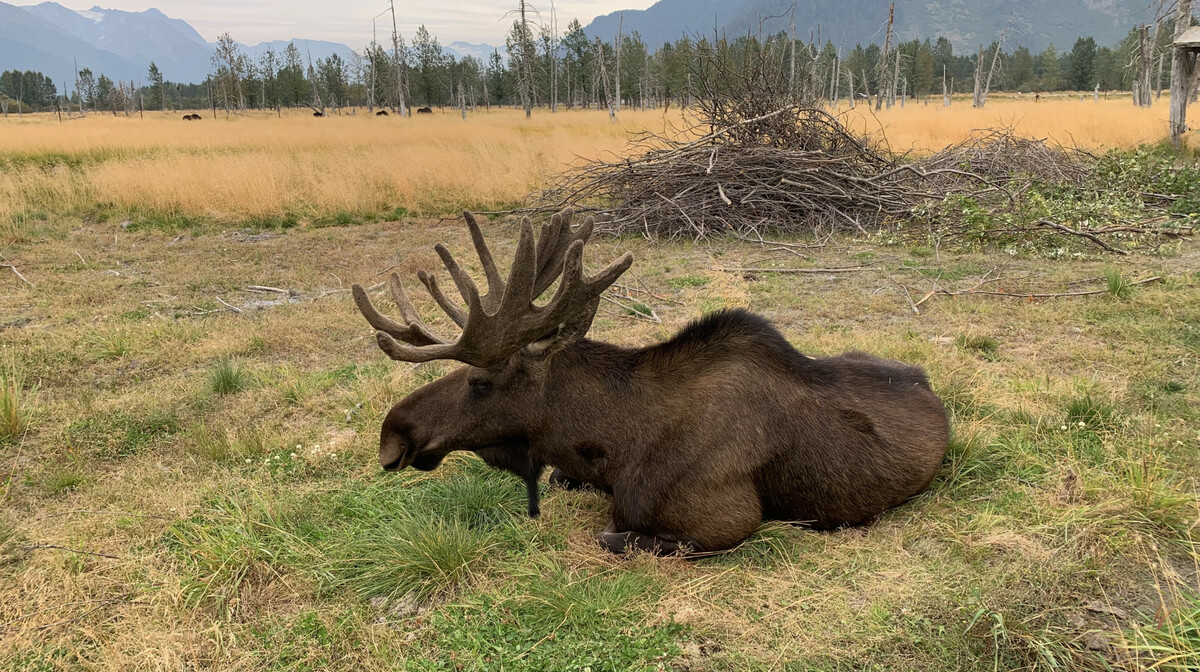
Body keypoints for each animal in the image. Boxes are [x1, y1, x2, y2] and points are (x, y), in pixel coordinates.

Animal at [350, 211, 950, 556]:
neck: (614, 442)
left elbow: (613, 534)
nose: (393, 433)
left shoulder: (727, 522)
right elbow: (567, 480)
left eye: (478, 381)